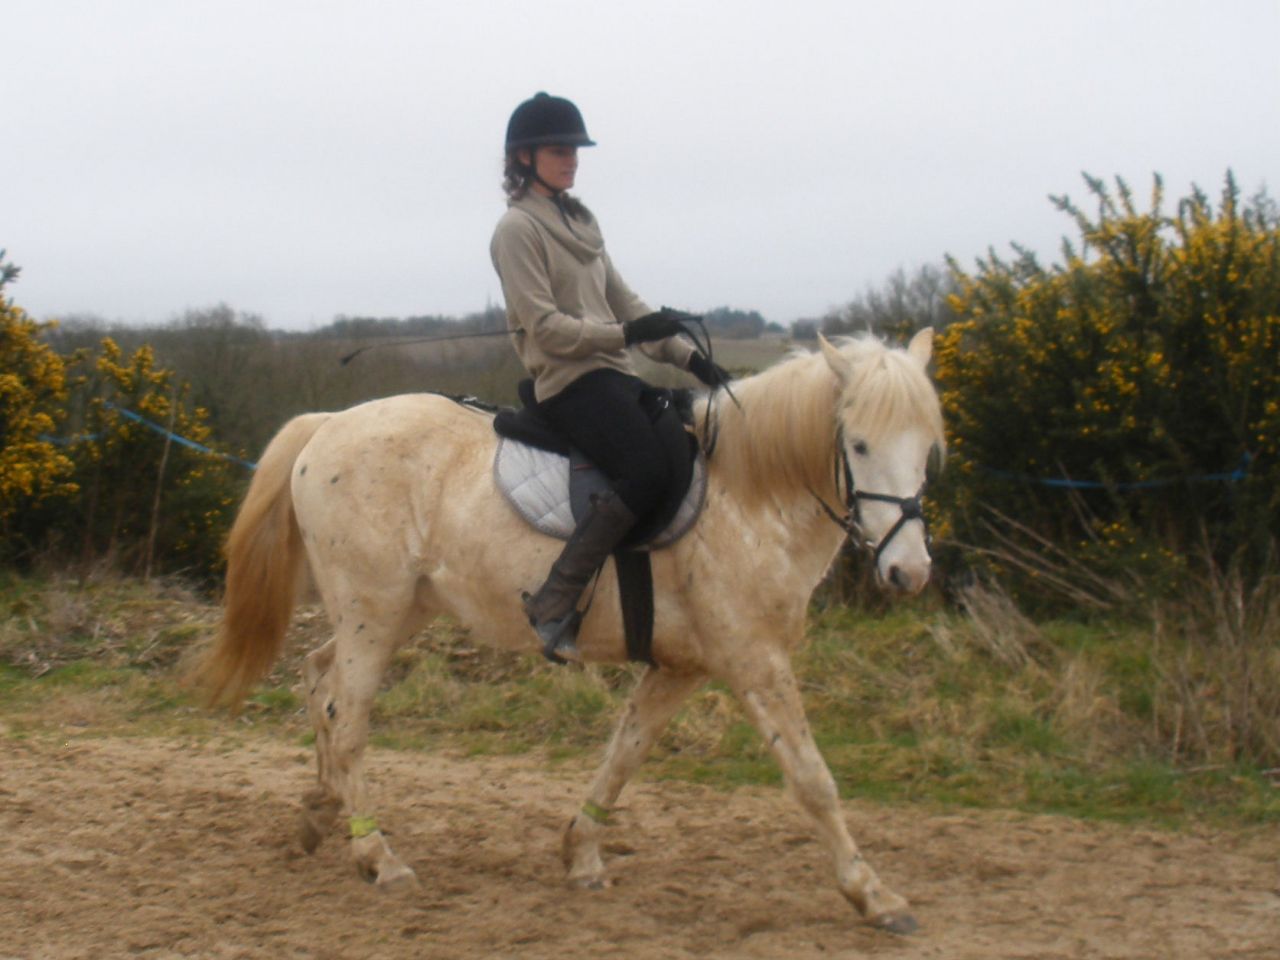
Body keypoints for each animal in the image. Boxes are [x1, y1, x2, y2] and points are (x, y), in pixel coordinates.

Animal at [199, 329, 944, 934]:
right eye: (858, 444)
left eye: (927, 450)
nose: (908, 572)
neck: (748, 492)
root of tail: (327, 425)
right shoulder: (753, 660)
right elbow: (812, 779)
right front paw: (875, 895)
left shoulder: (682, 667)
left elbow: (624, 755)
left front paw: (580, 853)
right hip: (372, 610)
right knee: (345, 715)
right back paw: (378, 855)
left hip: (400, 610)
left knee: (318, 677)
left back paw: (320, 812)